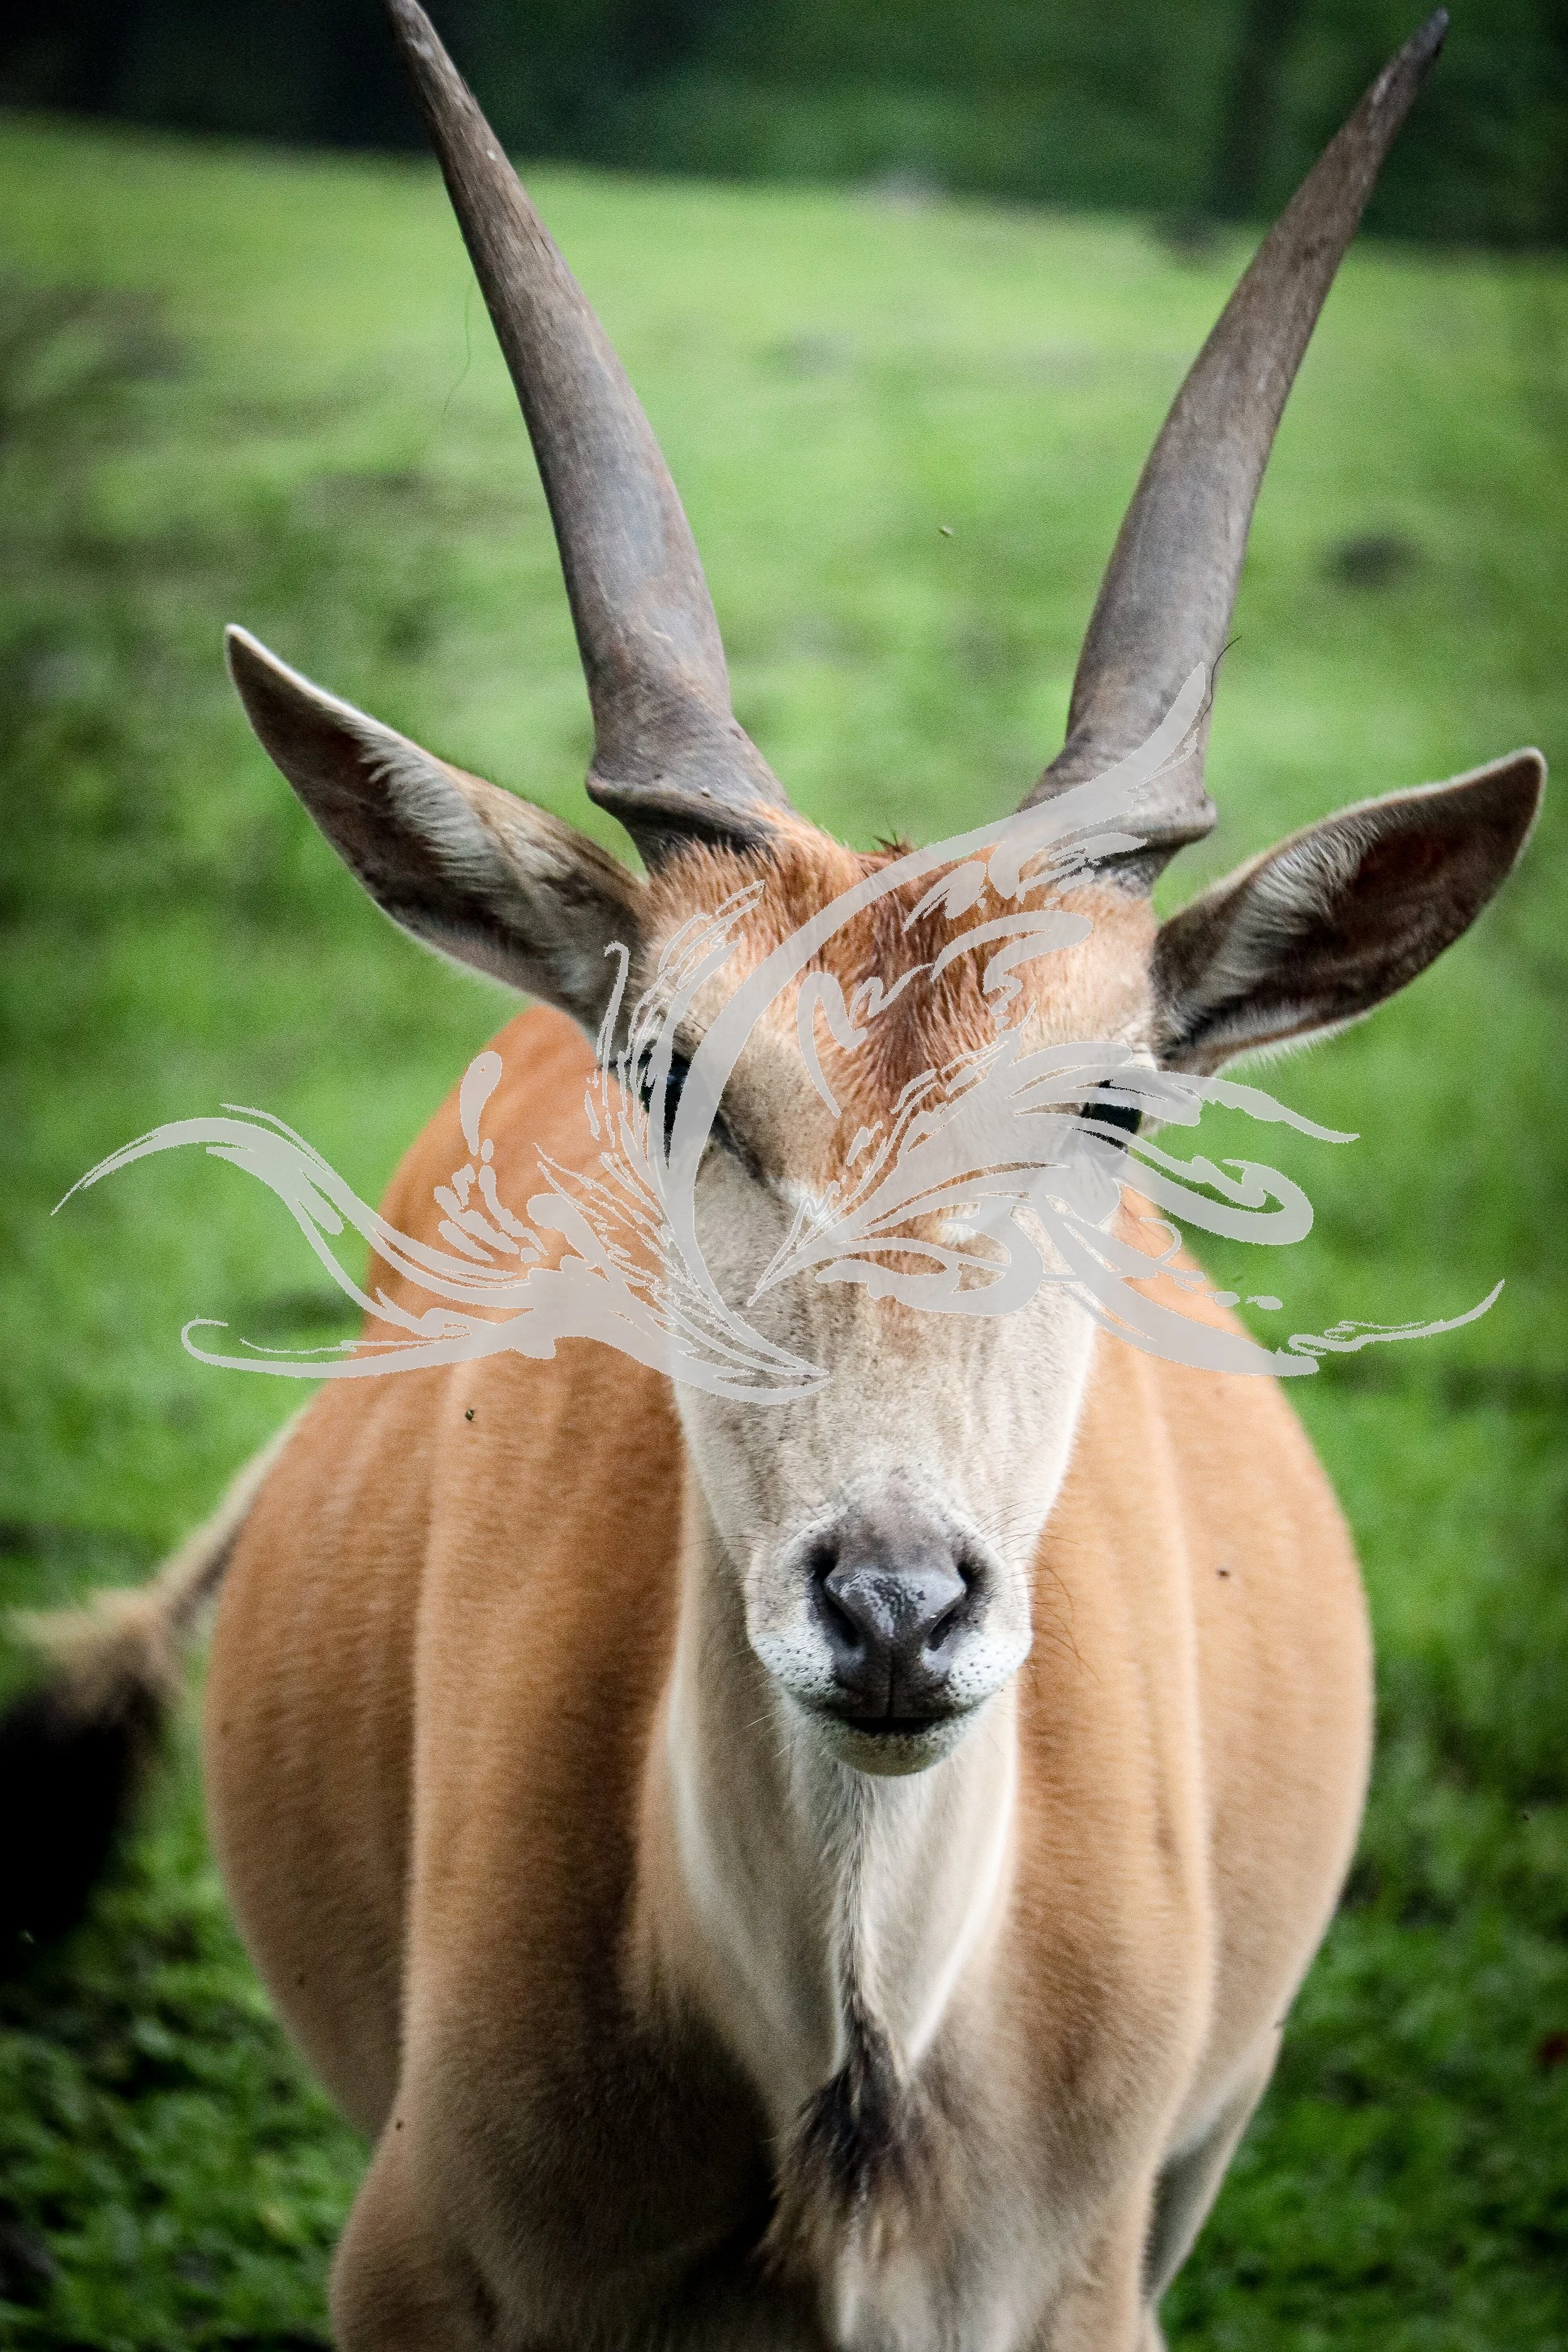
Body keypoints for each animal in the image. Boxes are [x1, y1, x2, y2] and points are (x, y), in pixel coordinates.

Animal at [11, 5, 1544, 2346]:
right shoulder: (409, 2265)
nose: (892, 1604)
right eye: (664, 1068)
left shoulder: (1103, 2274)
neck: (844, 2113)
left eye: (1114, 1106)